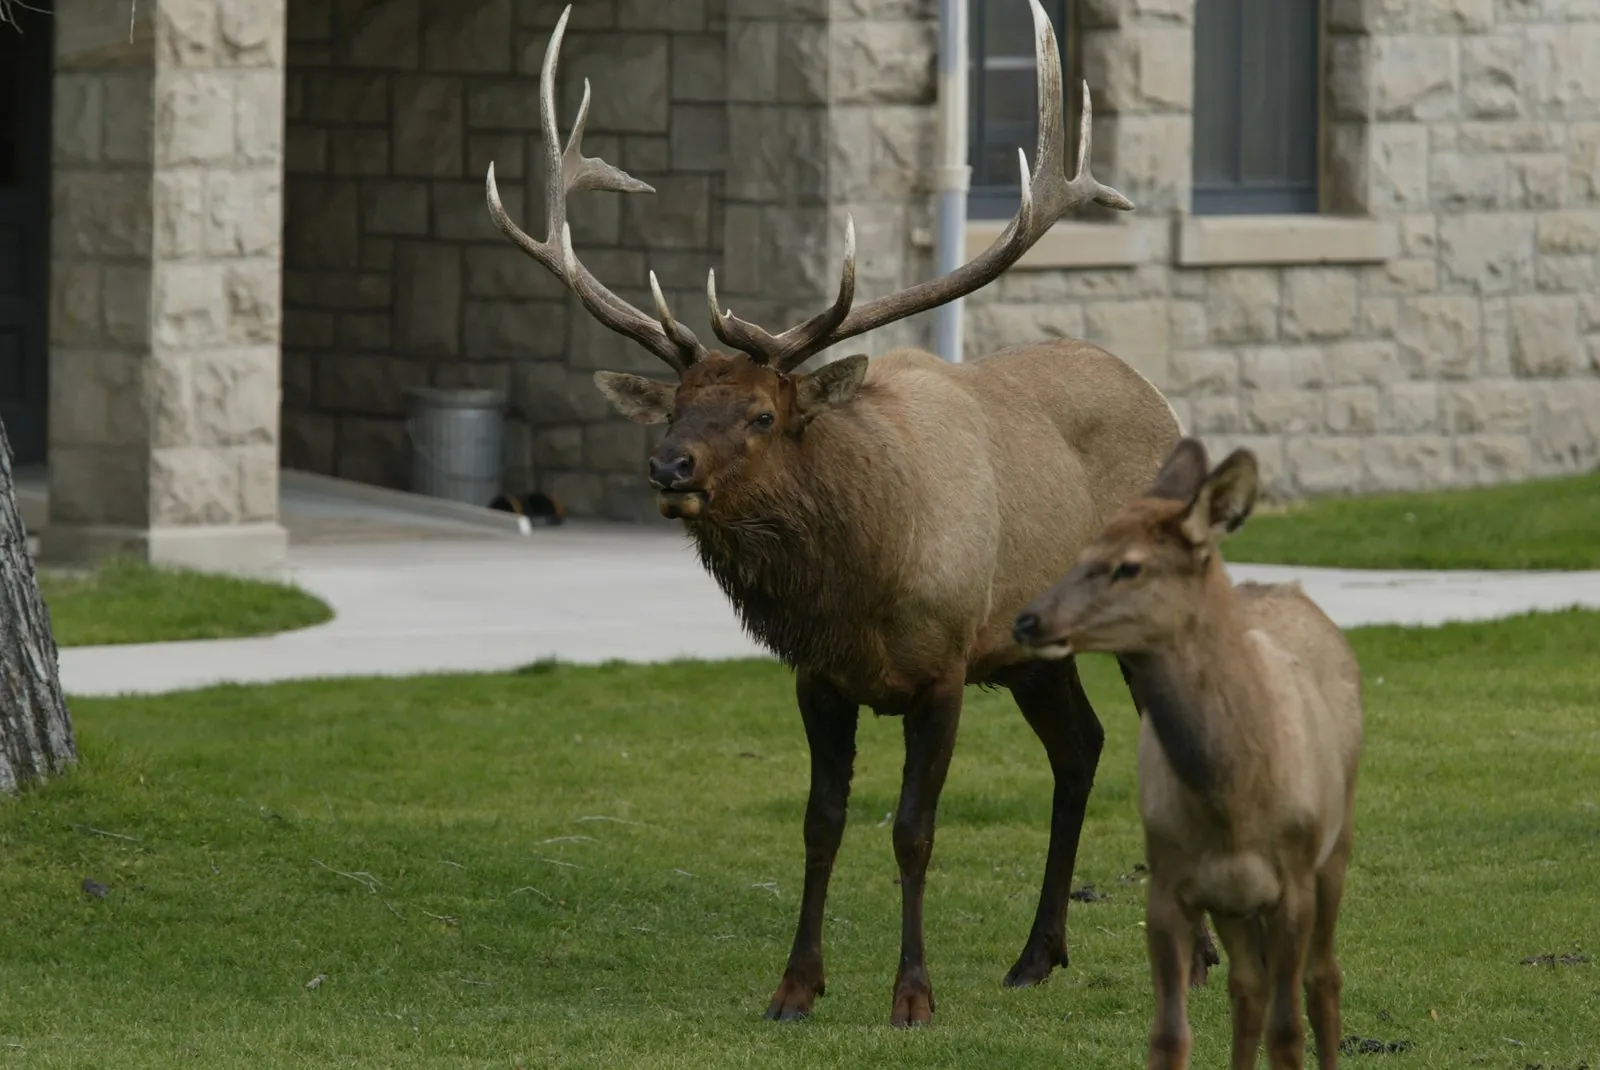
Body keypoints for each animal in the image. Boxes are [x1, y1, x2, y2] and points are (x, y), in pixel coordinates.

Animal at [485, 0, 1219, 1029]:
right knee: (1082, 750)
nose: (667, 466)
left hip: (1145, 613)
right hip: (1033, 648)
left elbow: (913, 829)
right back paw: (1037, 955)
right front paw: (795, 986)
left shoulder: (945, 666)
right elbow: (820, 823)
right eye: (675, 409)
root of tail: (1163, 405)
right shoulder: (818, 679)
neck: (862, 582)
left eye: (762, 414)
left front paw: (912, 994)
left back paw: (1198, 960)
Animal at [1011, 438, 1365, 1069]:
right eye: (1081, 551)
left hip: (1333, 848)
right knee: (1247, 989)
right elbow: (1170, 1036)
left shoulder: (1292, 883)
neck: (1232, 801)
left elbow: (1288, 1032)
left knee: (1323, 979)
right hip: (1234, 901)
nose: (1027, 619)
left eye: (1130, 565)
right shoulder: (1171, 885)